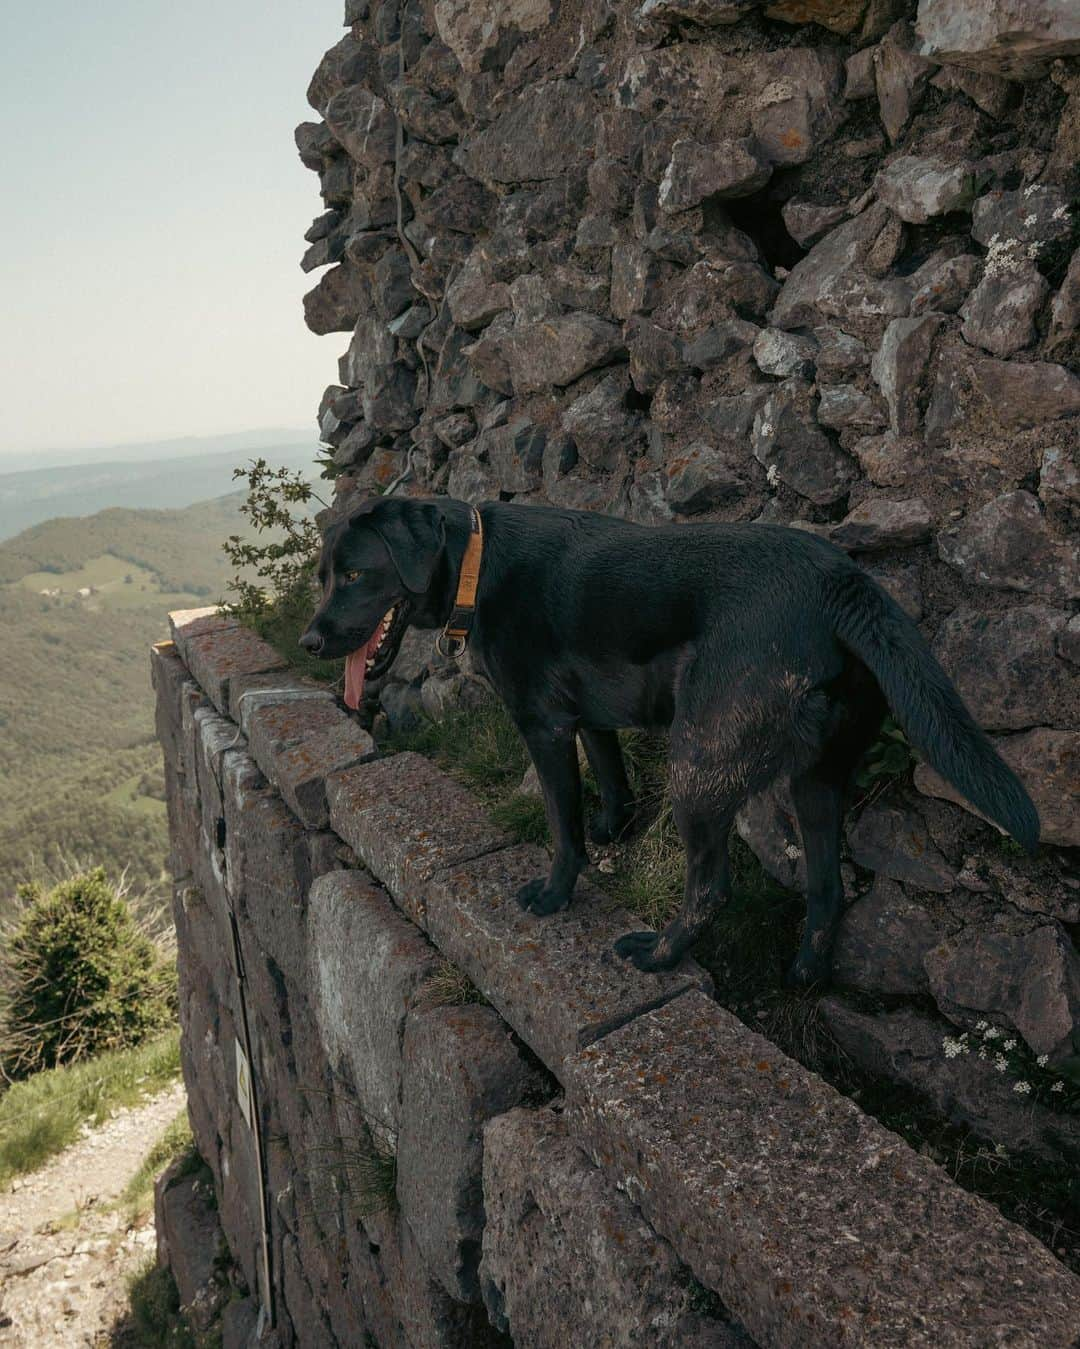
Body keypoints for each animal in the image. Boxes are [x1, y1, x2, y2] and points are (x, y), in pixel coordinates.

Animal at [296, 496, 1035, 982]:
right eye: (323, 576)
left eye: (356, 574)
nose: (309, 640)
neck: (480, 561)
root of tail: (842, 582)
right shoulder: (588, 719)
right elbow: (610, 783)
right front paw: (612, 831)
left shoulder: (543, 725)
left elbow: (561, 824)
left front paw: (555, 893)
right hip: (816, 779)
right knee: (827, 888)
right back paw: (805, 972)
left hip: (701, 765)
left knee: (712, 887)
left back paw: (657, 954)